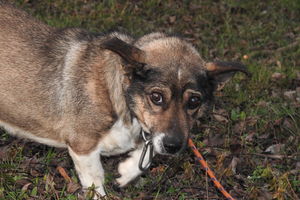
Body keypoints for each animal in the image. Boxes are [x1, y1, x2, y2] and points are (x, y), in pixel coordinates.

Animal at [0, 1, 251, 198]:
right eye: (156, 97)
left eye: (194, 102)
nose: (173, 147)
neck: (120, 97)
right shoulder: (83, 146)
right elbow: (96, 182)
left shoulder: (152, 135)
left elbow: (146, 154)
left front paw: (127, 171)